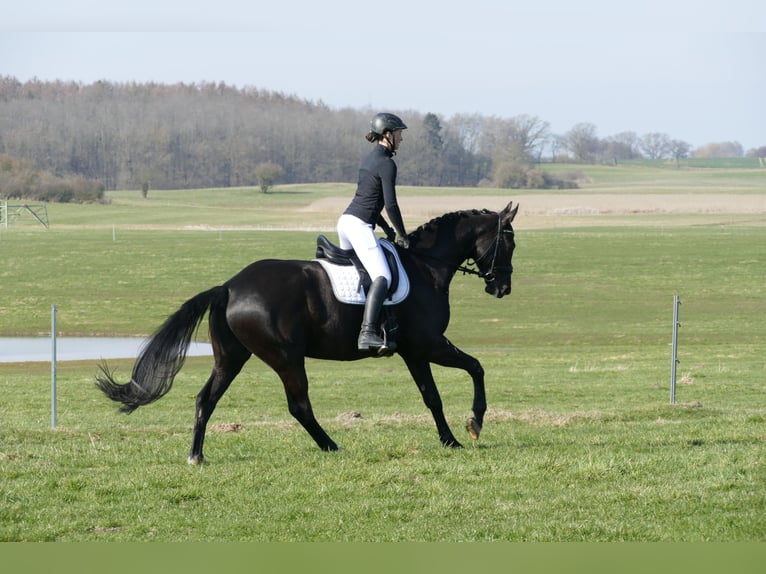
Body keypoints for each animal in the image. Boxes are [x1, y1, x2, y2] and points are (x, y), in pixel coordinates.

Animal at [96, 201, 519, 464]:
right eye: (510, 241)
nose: (502, 288)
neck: (425, 265)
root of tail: (229, 286)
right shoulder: (427, 345)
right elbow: (471, 371)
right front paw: (473, 425)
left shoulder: (415, 351)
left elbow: (435, 394)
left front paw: (452, 437)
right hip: (286, 357)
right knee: (299, 405)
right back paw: (332, 446)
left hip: (231, 357)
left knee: (206, 399)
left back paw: (196, 455)